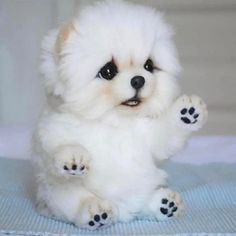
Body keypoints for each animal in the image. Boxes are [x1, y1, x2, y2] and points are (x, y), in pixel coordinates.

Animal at [34, 0, 207, 229]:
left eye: (149, 66)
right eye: (108, 71)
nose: (139, 79)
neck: (115, 122)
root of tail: (124, 211)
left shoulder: (150, 136)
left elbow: (167, 133)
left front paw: (188, 112)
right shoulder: (53, 133)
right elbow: (58, 148)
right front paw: (74, 157)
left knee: (145, 204)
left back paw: (165, 204)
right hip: (57, 194)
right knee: (76, 201)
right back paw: (96, 212)